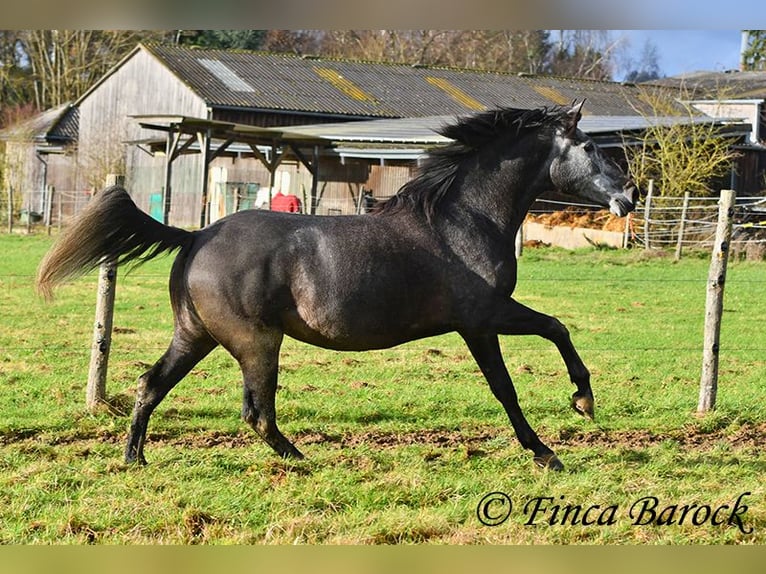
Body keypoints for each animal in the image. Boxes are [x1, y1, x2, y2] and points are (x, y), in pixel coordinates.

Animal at [36, 102, 636, 472]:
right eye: (589, 147)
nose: (628, 196)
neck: (462, 218)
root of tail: (198, 234)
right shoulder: (482, 319)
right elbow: (516, 375)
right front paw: (554, 442)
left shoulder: (487, 318)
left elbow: (550, 334)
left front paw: (577, 407)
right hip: (257, 342)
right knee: (256, 411)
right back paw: (301, 459)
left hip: (196, 335)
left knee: (152, 384)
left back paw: (135, 458)